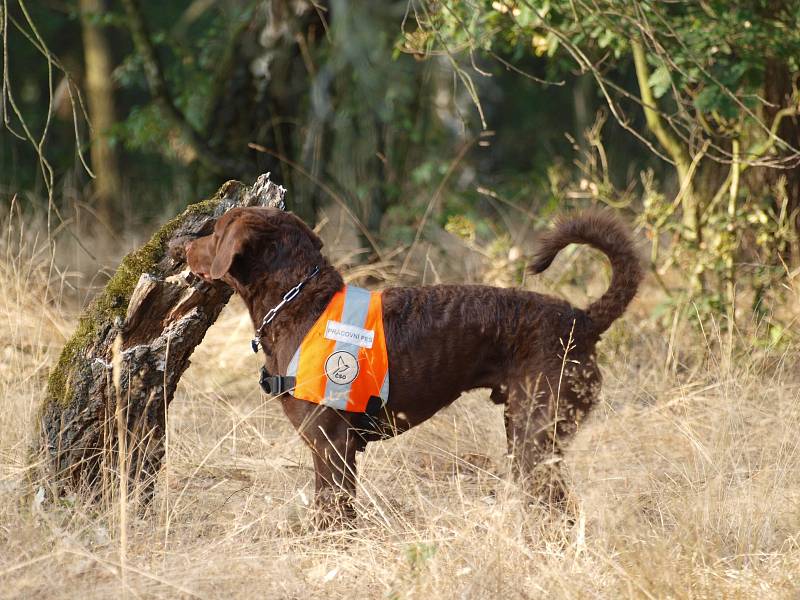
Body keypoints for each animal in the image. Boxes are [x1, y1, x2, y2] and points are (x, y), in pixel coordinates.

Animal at [184, 206, 640, 520]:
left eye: (217, 232)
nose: (185, 245)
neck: (297, 301)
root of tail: (582, 319)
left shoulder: (331, 442)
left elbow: (332, 511)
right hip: (524, 429)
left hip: (537, 432)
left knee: (559, 506)